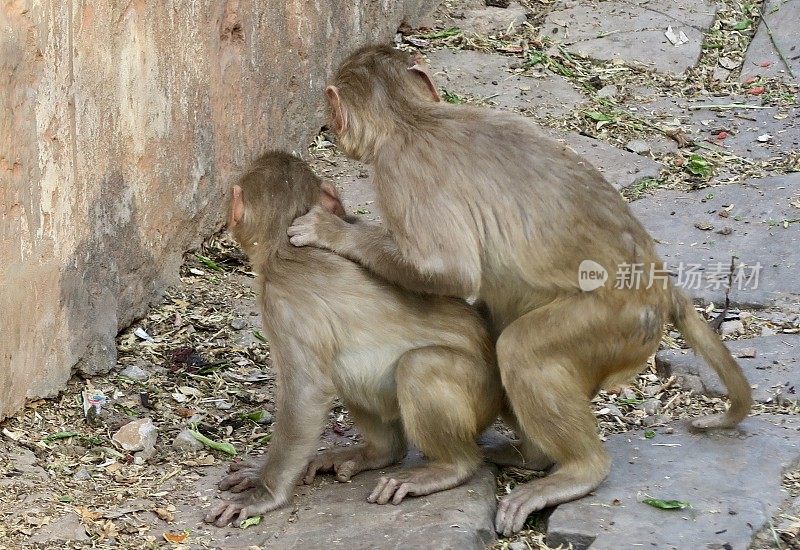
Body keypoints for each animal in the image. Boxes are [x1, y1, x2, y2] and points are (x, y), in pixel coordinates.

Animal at [203, 152, 500, 532]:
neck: (282, 249)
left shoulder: (282, 306)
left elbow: (307, 391)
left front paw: (264, 493)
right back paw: (379, 453)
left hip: (482, 396)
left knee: (418, 366)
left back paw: (452, 466)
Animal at [288, 45, 752, 536]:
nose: (330, 125)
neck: (412, 117)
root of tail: (658, 284)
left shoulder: (399, 171)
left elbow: (449, 272)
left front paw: (334, 231)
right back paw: (528, 457)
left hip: (616, 322)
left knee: (521, 349)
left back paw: (565, 470)